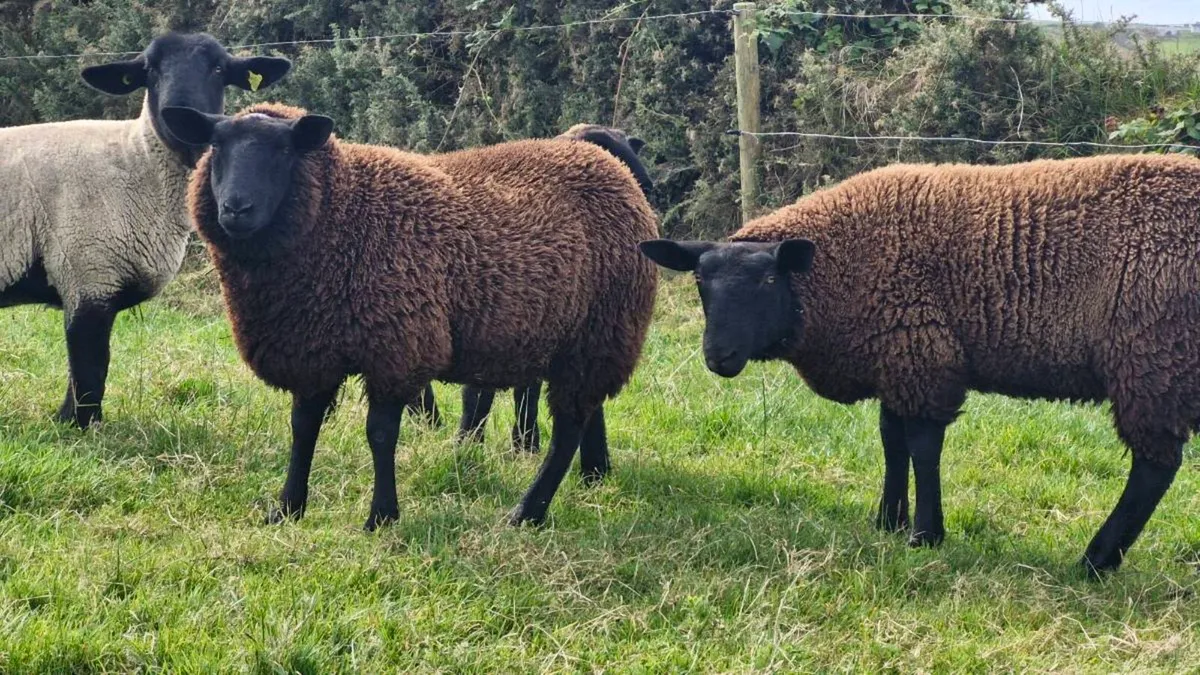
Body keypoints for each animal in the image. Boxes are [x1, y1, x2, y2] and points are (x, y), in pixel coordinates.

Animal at [0, 32, 290, 428]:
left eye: (218, 68)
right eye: (151, 70)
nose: (178, 111)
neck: (137, 160)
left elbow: (80, 373)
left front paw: (63, 421)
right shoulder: (88, 272)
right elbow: (89, 368)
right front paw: (83, 427)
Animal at [640, 153, 1200, 575]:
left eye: (769, 281)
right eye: (700, 282)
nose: (719, 356)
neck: (834, 269)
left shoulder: (921, 353)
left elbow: (923, 448)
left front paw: (925, 534)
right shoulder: (896, 356)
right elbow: (891, 440)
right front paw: (888, 520)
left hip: (1152, 359)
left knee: (1153, 467)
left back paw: (1096, 560)